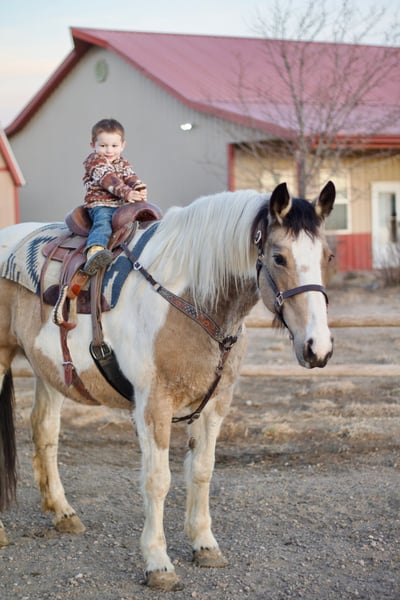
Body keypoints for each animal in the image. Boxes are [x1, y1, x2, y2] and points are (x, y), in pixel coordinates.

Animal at [0, 181, 335, 591]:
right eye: (279, 257)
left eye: (328, 255)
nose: (317, 347)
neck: (189, 301)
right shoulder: (153, 406)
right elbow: (158, 480)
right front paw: (158, 563)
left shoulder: (215, 405)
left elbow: (202, 470)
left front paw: (205, 545)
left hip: (50, 371)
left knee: (45, 431)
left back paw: (63, 513)